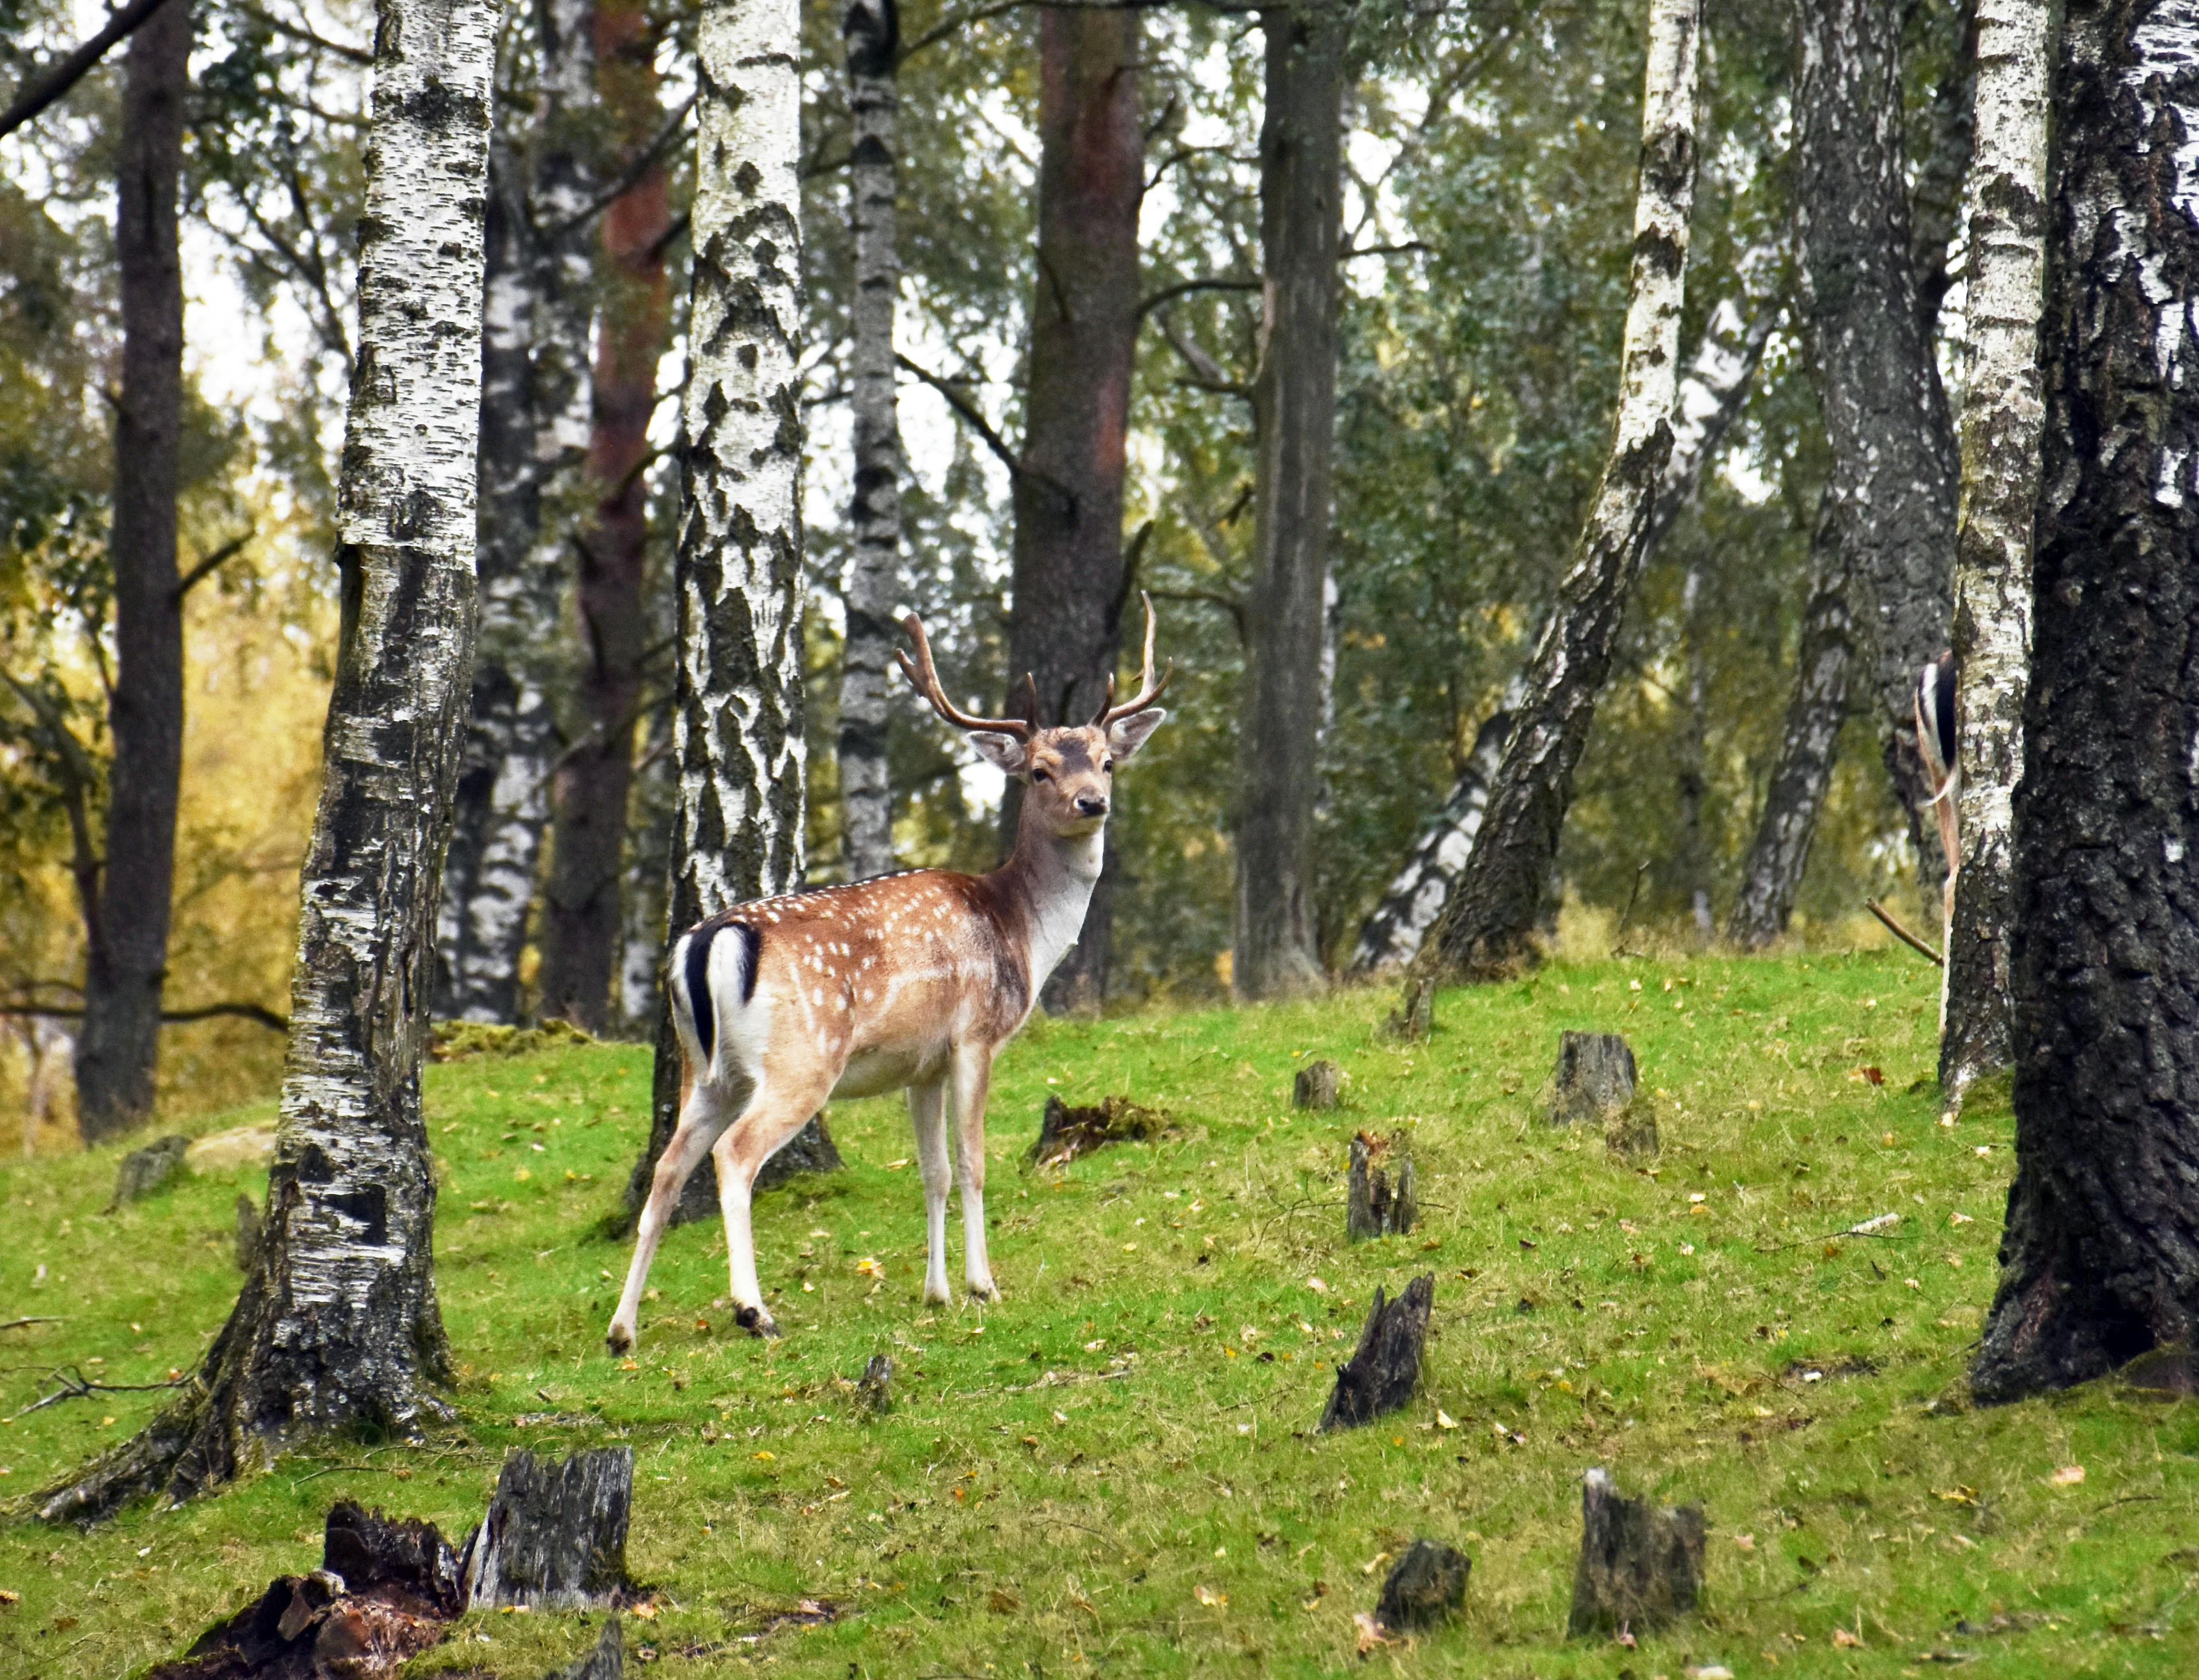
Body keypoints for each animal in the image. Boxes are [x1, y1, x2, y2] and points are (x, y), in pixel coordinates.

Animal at [602, 598, 1170, 1345]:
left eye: (1107, 762)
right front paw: (983, 1286)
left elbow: (933, 1172)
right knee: (735, 1155)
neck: (1019, 930)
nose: (1091, 802)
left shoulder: (920, 1065)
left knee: (668, 1169)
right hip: (801, 1059)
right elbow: (973, 1162)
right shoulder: (975, 1036)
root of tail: (712, 941)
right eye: (1040, 770)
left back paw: (622, 1330)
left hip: (707, 1071)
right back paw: (755, 1311)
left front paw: (936, 1293)